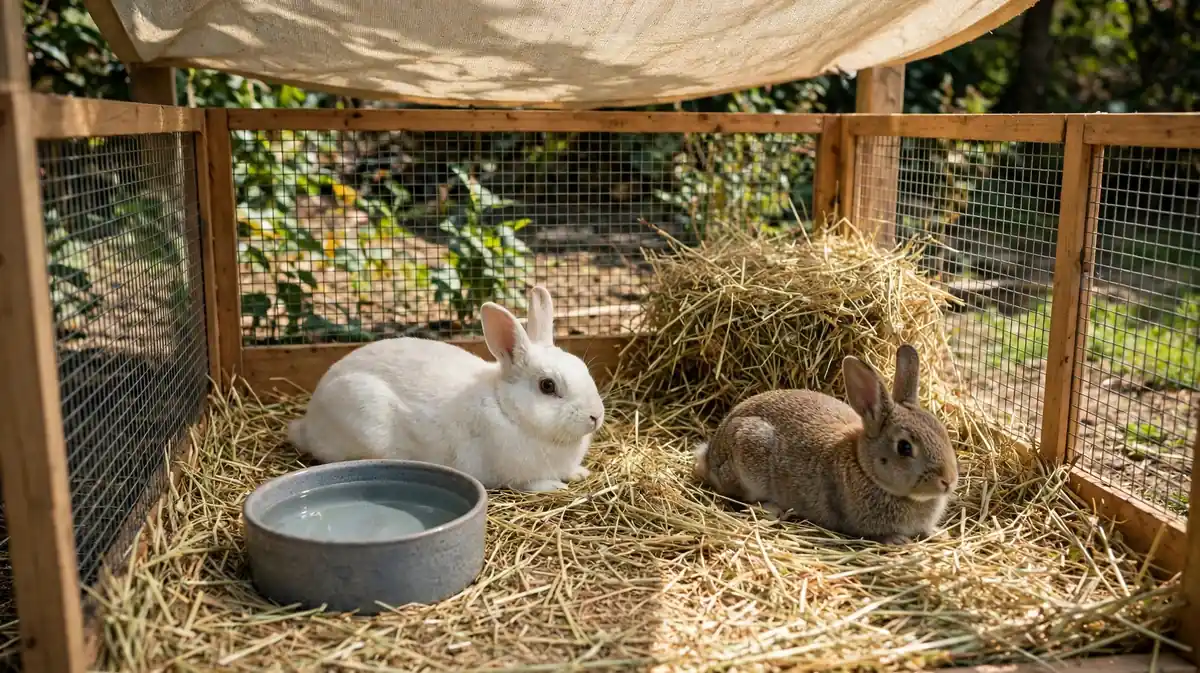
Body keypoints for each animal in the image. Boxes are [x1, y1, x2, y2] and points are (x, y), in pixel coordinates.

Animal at [288, 286, 606, 492]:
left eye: (582, 366)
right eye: (547, 386)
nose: (596, 416)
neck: (507, 410)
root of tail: (308, 421)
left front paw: (579, 473)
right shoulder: (516, 477)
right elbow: (533, 484)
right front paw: (556, 486)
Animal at [692, 344, 958, 545]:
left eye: (942, 430)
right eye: (904, 447)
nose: (948, 481)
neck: (865, 467)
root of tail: (710, 454)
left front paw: (939, 534)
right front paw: (898, 540)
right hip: (748, 457)